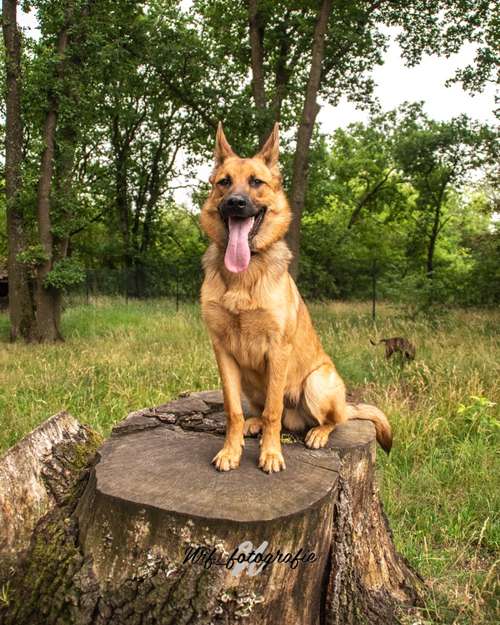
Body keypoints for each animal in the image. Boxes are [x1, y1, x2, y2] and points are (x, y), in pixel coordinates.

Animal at [198, 123, 390, 472]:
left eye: (256, 182)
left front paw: (271, 454)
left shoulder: (278, 350)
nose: (235, 203)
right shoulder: (223, 352)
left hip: (317, 383)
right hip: (251, 383)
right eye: (224, 182)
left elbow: (274, 411)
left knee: (332, 419)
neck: (244, 275)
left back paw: (318, 433)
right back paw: (253, 424)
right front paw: (231, 451)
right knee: (262, 413)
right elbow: (233, 410)